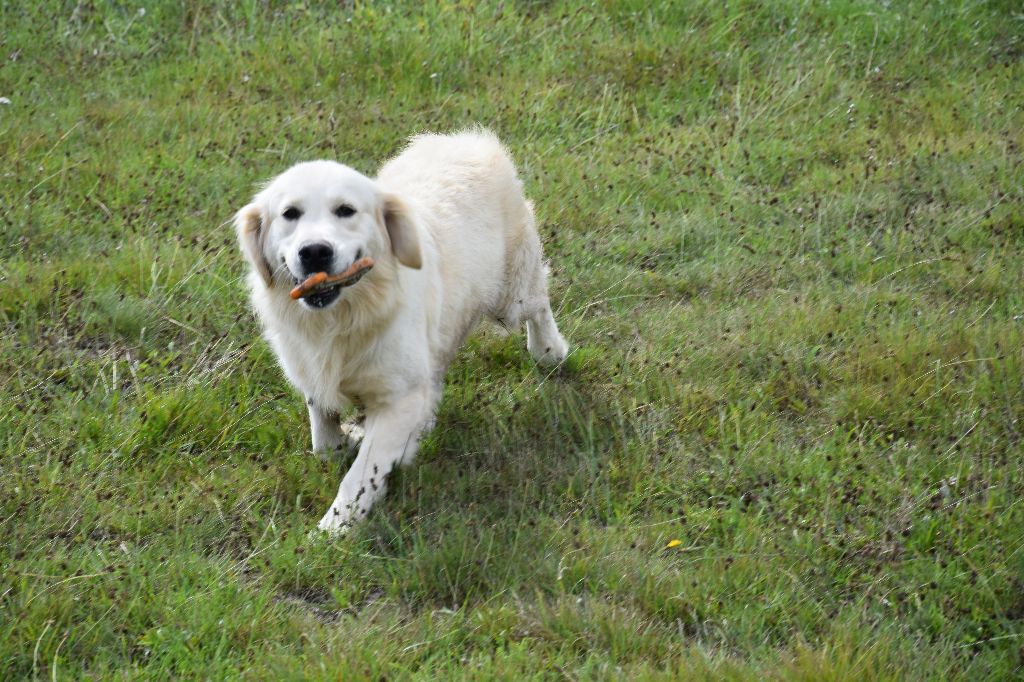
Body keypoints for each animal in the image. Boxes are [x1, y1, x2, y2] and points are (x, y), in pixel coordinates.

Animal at [234, 129, 569, 532]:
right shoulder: (313, 374)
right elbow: (325, 441)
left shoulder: (400, 396)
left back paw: (549, 350)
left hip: (511, 298)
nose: (314, 252)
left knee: (540, 298)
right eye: (290, 214)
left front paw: (334, 529)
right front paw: (350, 438)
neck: (342, 319)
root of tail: (469, 139)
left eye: (345, 210)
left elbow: (361, 475)